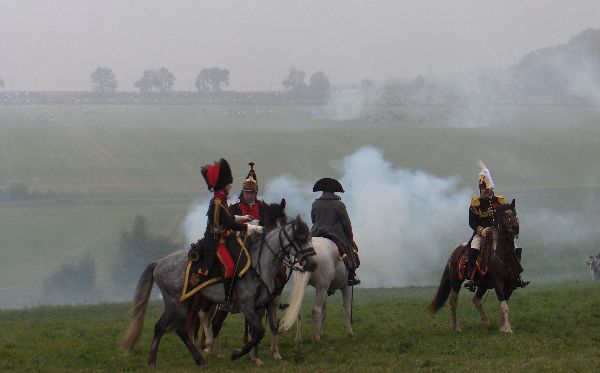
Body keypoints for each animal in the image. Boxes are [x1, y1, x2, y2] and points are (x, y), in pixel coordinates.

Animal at [122, 217, 318, 368]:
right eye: (300, 238)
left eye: (309, 236)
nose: (313, 264)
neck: (260, 263)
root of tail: (159, 263)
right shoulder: (247, 307)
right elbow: (259, 331)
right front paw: (237, 354)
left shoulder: (260, 306)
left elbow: (257, 332)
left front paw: (256, 358)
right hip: (181, 302)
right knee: (182, 329)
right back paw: (200, 360)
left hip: (172, 303)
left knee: (160, 327)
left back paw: (152, 361)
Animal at [428, 199, 524, 332]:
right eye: (503, 215)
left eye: (514, 213)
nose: (515, 227)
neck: (503, 255)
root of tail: (455, 251)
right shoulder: (499, 283)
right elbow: (504, 306)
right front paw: (507, 330)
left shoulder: (510, 284)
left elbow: (504, 305)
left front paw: (503, 327)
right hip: (456, 282)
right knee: (453, 302)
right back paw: (456, 327)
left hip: (483, 284)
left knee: (476, 300)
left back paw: (486, 321)